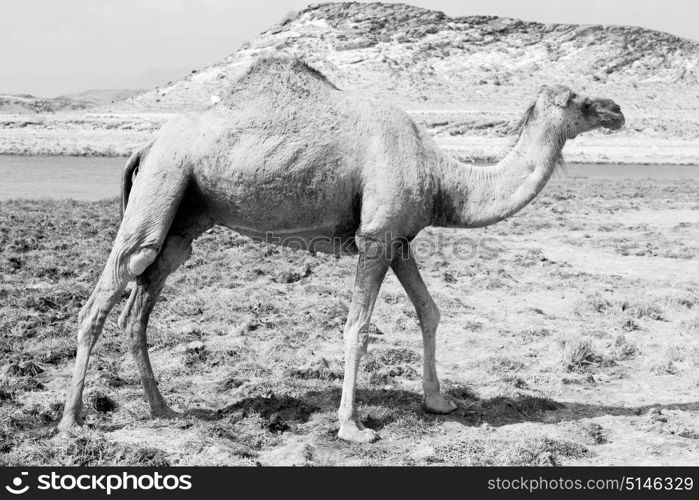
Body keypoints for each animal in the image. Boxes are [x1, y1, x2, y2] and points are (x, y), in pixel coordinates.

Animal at [58, 56, 624, 444]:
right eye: (579, 98)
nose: (617, 108)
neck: (443, 178)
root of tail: (145, 145)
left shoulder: (398, 238)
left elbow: (429, 311)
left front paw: (438, 402)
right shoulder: (375, 237)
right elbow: (359, 327)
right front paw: (353, 427)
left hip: (184, 219)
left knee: (140, 304)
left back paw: (164, 410)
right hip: (164, 182)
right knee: (105, 294)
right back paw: (70, 420)